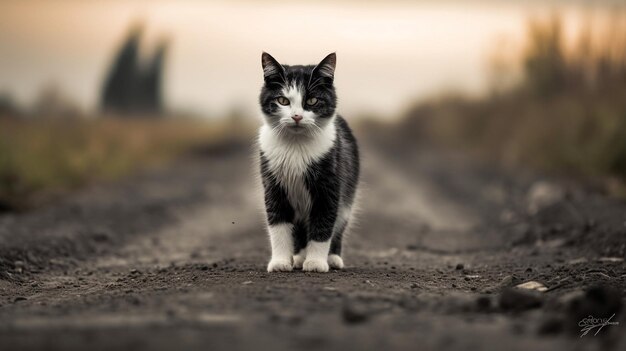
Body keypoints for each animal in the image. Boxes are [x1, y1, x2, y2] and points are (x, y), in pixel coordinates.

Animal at [256, 52, 358, 274]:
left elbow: (323, 223)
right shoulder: (273, 184)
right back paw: (299, 257)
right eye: (283, 100)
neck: (296, 145)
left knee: (339, 223)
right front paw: (280, 262)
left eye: (312, 100)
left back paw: (332, 258)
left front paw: (316, 262)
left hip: (347, 197)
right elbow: (278, 224)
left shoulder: (329, 185)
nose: (296, 116)